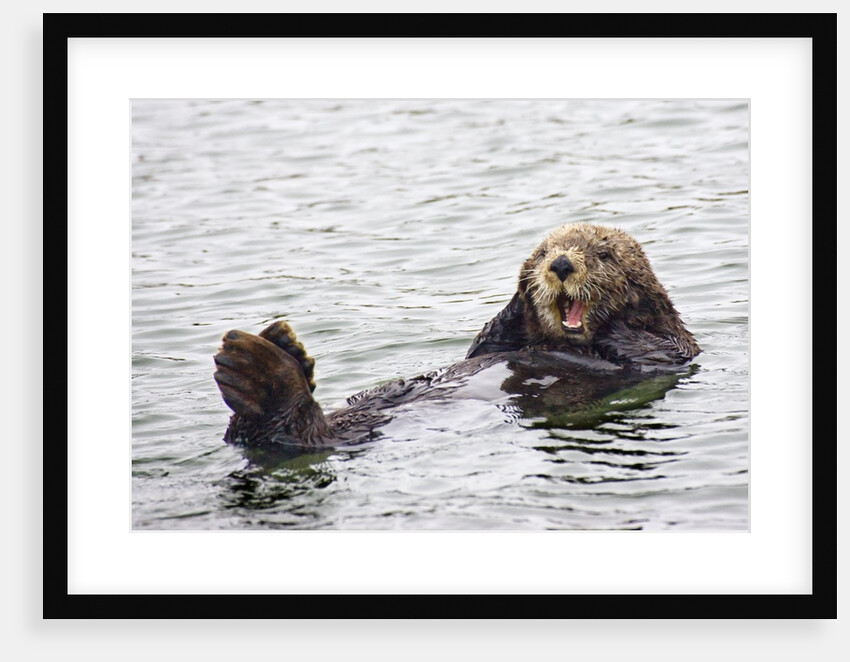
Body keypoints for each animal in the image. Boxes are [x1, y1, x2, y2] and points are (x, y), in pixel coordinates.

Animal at [213, 223, 700, 449]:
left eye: (603, 254)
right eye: (545, 250)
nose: (560, 264)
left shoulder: (674, 348)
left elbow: (651, 346)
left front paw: (621, 317)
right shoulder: (502, 342)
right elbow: (487, 342)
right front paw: (520, 293)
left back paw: (261, 368)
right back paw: (278, 352)